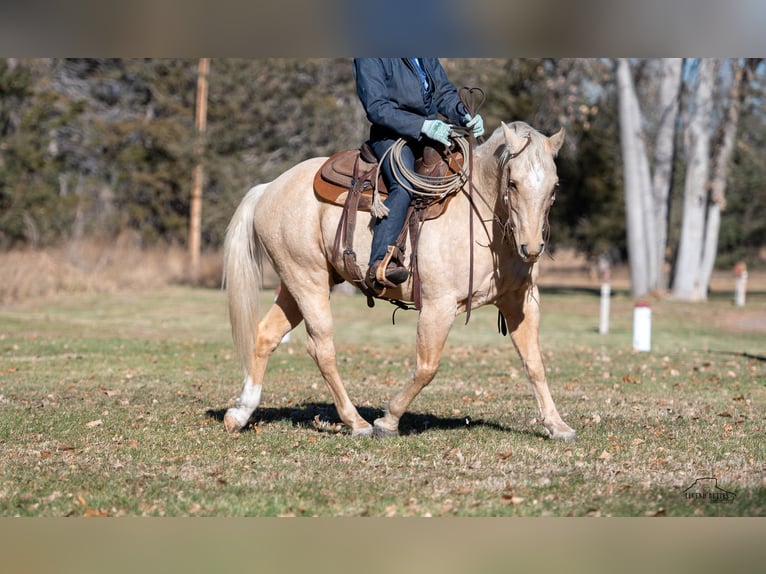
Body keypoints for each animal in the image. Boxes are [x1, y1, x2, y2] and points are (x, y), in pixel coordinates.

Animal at [222, 121, 576, 444]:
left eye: (555, 187)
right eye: (513, 183)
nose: (531, 248)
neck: (482, 217)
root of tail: (269, 187)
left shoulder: (520, 302)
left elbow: (535, 364)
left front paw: (557, 426)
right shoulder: (438, 307)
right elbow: (427, 367)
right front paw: (388, 421)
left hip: (296, 284)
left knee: (265, 335)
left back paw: (240, 414)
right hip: (307, 280)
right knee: (321, 348)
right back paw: (357, 422)